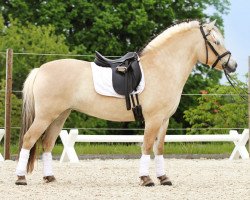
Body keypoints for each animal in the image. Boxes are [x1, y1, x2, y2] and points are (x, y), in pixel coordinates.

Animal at [14, 19, 237, 186]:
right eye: (216, 42)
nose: (232, 65)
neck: (162, 67)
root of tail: (40, 70)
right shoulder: (153, 119)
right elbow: (147, 146)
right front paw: (146, 179)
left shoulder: (164, 120)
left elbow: (159, 149)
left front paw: (163, 178)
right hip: (45, 116)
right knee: (28, 139)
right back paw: (21, 178)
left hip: (60, 116)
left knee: (47, 144)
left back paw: (49, 177)